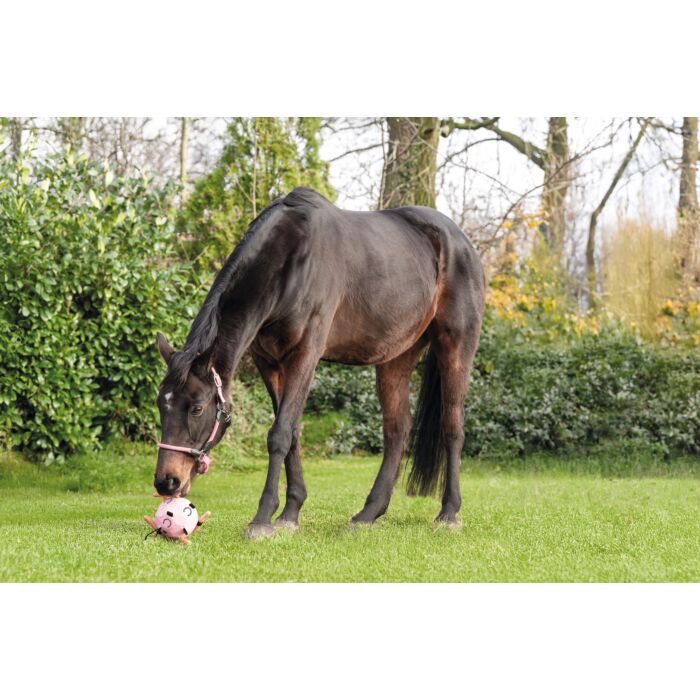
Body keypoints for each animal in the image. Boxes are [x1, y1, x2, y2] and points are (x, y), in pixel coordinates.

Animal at [154, 186, 485, 538]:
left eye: (197, 408)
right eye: (161, 405)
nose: (166, 482)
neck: (291, 260)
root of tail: (461, 242)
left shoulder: (305, 355)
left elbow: (279, 434)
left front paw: (262, 518)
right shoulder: (269, 362)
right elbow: (292, 432)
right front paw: (290, 513)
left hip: (456, 347)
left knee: (452, 427)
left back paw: (448, 513)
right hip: (396, 358)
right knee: (397, 430)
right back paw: (368, 513)